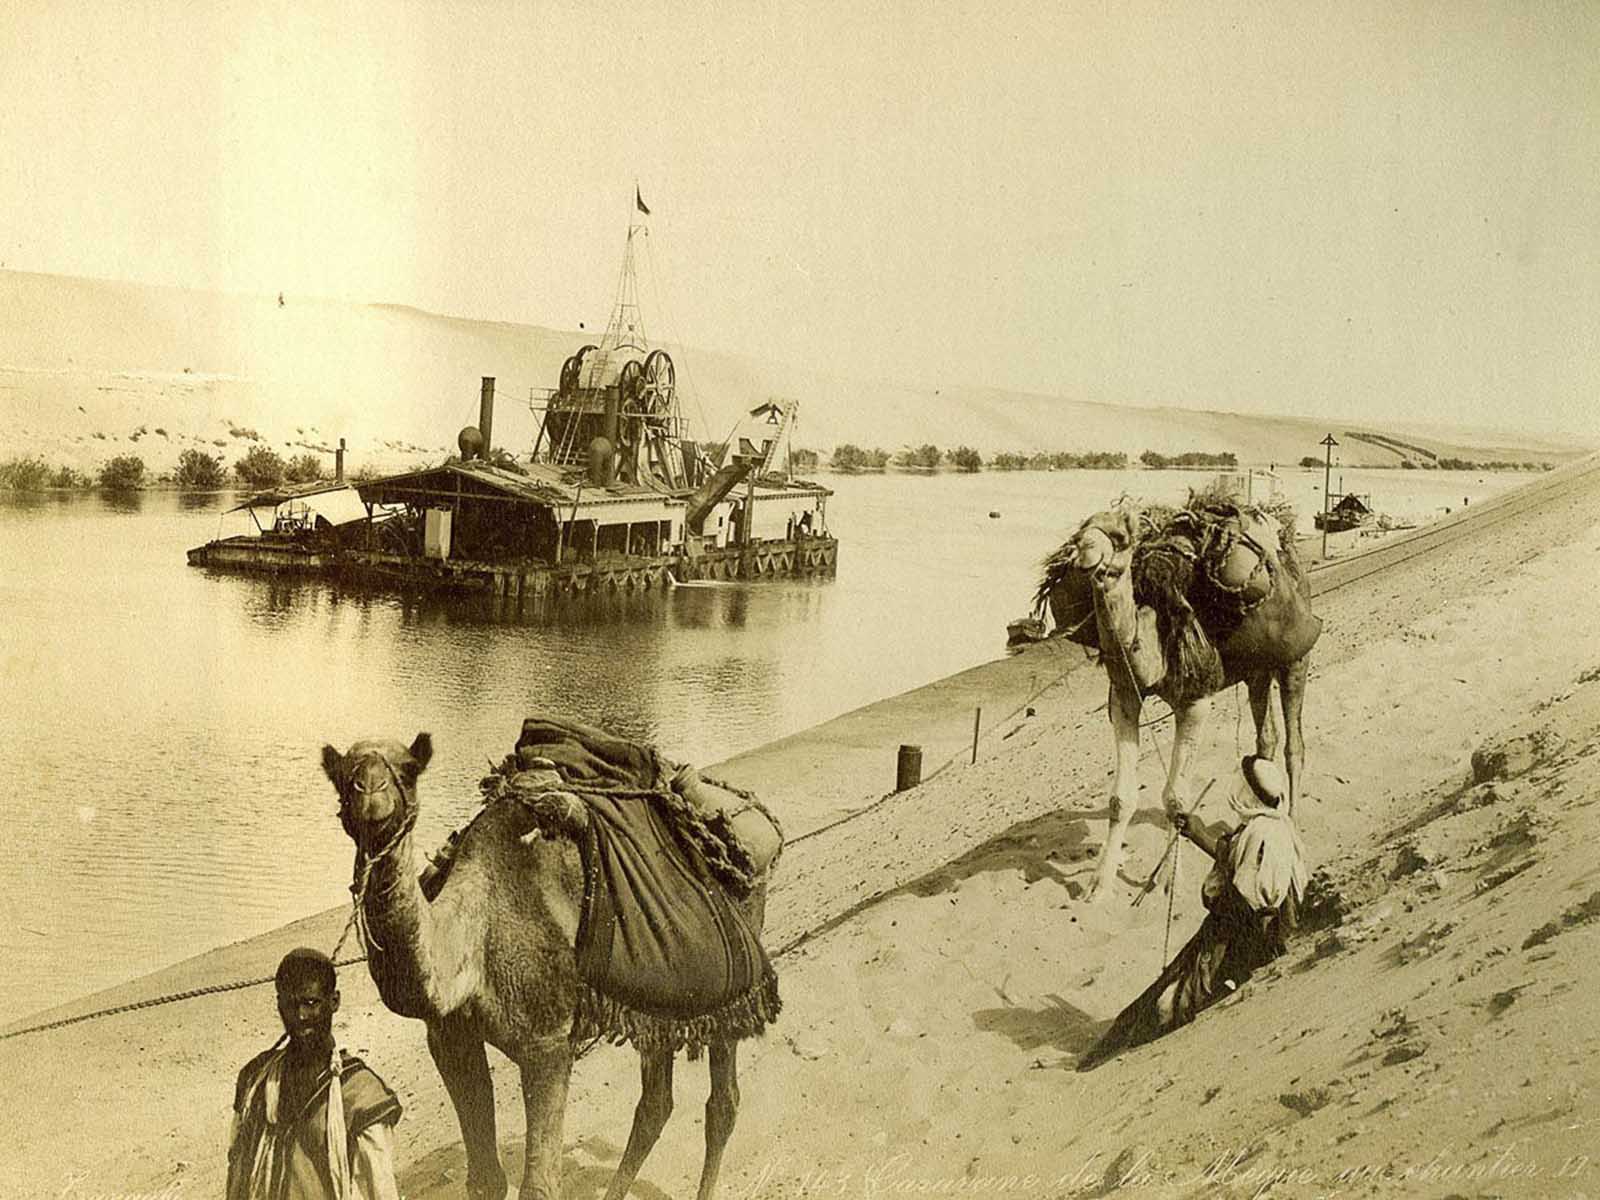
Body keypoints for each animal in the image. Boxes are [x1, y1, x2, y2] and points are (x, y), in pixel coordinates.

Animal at [320, 729, 780, 1200]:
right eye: (342, 777)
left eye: (409, 771)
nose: (370, 792)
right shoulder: (449, 1036)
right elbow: (485, 1179)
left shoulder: (547, 1045)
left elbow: (539, 1184)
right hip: (661, 994)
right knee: (656, 1100)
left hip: (732, 976)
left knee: (722, 1101)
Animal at [1036, 499, 1324, 902]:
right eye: (1081, 531)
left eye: (1121, 535)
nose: (1084, 550)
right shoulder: (1124, 697)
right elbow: (1120, 798)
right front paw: (1097, 886)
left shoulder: (1194, 701)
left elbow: (1175, 798)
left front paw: (1170, 882)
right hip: (1256, 668)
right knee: (1265, 737)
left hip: (1296, 656)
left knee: (1294, 745)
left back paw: (1291, 825)